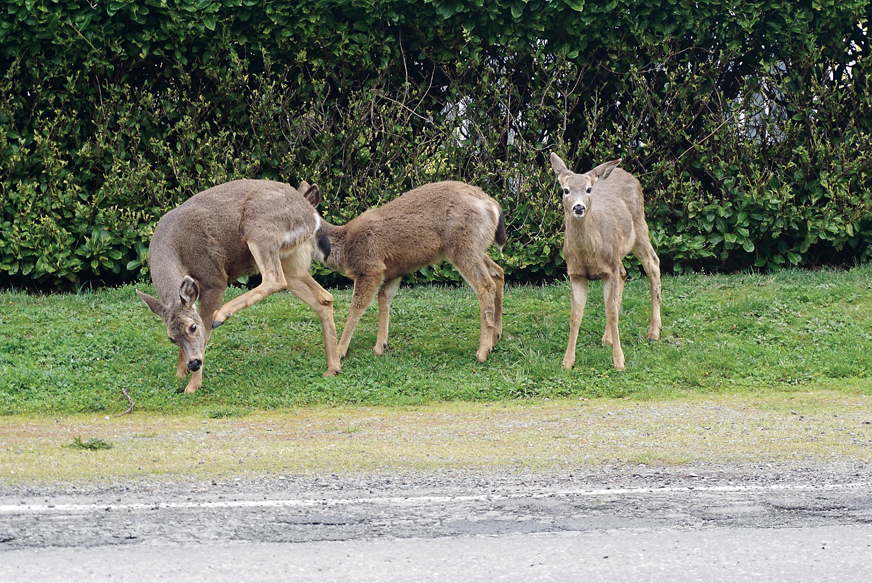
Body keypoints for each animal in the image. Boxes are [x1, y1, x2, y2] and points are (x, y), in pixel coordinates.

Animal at [136, 179, 341, 394]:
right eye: (171, 338)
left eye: (192, 327)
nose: (194, 363)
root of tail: (312, 215)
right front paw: (180, 373)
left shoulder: (213, 279)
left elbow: (205, 333)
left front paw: (192, 385)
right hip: (291, 259)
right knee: (324, 297)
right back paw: (333, 368)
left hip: (259, 229)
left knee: (274, 279)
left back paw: (220, 315)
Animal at [315, 180, 507, 362]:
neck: (345, 248)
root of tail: (493, 205)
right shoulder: (391, 273)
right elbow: (384, 300)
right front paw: (380, 346)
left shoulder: (370, 267)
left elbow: (357, 306)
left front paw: (340, 351)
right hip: (475, 247)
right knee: (498, 272)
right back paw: (495, 338)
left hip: (461, 245)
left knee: (485, 285)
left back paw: (483, 352)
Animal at [550, 153, 662, 371]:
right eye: (566, 190)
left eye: (588, 189)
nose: (579, 207)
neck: (587, 254)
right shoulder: (575, 273)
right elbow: (575, 315)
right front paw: (567, 362)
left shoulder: (608, 270)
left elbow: (610, 312)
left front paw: (619, 361)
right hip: (618, 253)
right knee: (624, 273)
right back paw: (607, 337)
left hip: (639, 225)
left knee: (653, 263)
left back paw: (654, 332)